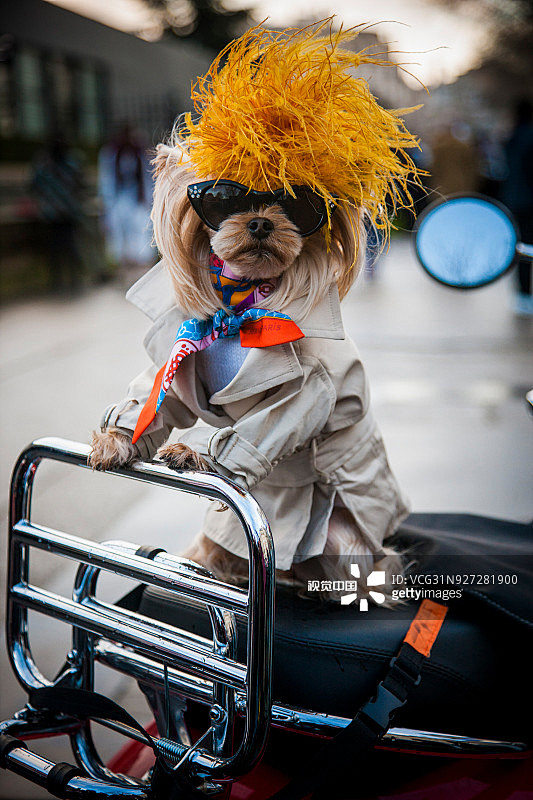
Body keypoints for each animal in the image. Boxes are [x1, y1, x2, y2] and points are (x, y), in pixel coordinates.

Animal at [89, 21, 418, 600]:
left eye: (294, 203)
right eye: (225, 201)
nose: (261, 221)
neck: (238, 306)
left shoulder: (307, 389)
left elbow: (264, 425)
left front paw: (198, 455)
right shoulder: (179, 364)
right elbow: (155, 397)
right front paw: (116, 438)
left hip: (347, 539)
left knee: (353, 568)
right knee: (220, 551)